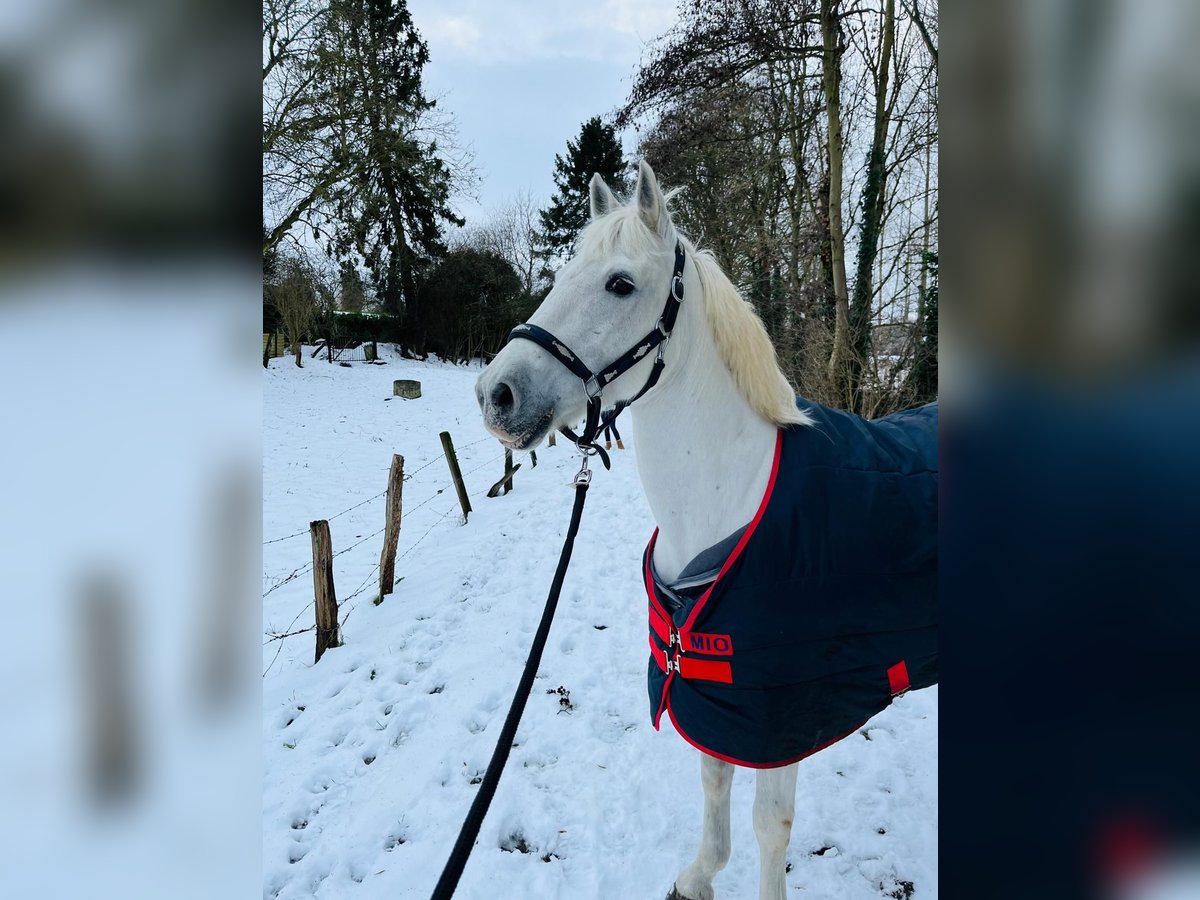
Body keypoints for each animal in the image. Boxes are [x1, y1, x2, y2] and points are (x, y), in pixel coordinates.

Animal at [477, 162, 926, 900]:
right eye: (565, 271)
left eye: (620, 283)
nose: (496, 394)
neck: (731, 497)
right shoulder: (717, 693)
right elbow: (714, 778)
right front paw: (697, 877)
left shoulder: (782, 711)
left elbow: (771, 827)